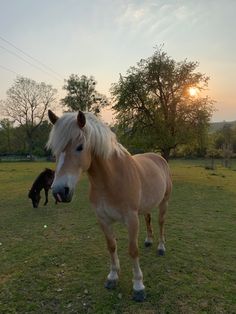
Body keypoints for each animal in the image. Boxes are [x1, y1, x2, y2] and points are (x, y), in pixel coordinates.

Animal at [46, 110, 171, 302]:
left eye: (80, 147)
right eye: (55, 150)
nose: (60, 191)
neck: (111, 180)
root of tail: (158, 157)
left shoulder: (131, 220)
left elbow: (133, 250)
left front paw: (138, 286)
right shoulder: (103, 219)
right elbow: (111, 246)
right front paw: (113, 277)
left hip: (163, 202)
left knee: (161, 223)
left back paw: (161, 247)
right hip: (146, 206)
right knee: (149, 219)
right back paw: (149, 240)